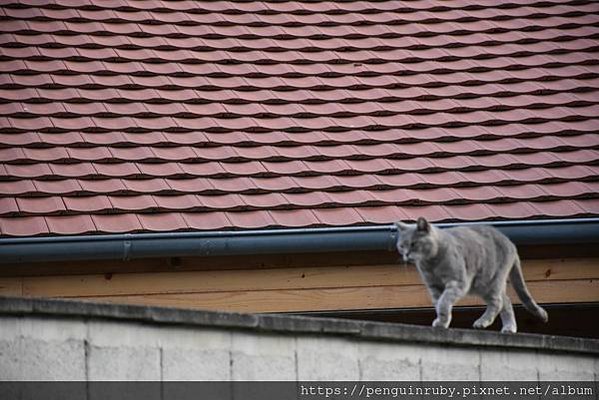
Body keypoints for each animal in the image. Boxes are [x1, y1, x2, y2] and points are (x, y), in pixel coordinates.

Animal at [394, 217, 548, 332]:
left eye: (413, 244)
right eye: (401, 246)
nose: (406, 255)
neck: (431, 264)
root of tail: (511, 243)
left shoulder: (458, 282)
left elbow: (444, 302)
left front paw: (442, 321)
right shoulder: (434, 286)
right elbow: (439, 303)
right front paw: (442, 321)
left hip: (489, 280)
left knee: (497, 302)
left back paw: (482, 322)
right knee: (507, 301)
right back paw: (509, 328)